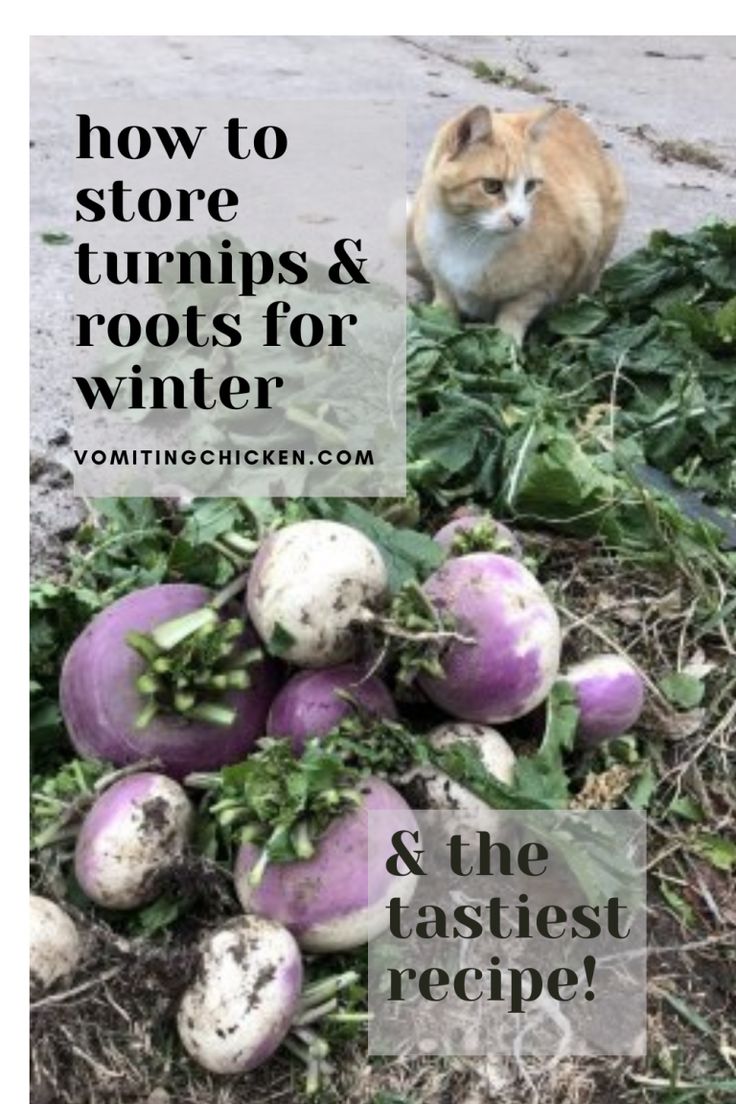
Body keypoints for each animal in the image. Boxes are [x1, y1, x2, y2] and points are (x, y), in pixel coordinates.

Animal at [408, 104, 626, 344]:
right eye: (491, 186)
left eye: (530, 186)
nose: (519, 219)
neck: (465, 235)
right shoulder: (442, 283)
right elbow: (442, 312)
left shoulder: (541, 288)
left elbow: (512, 321)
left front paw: (504, 347)